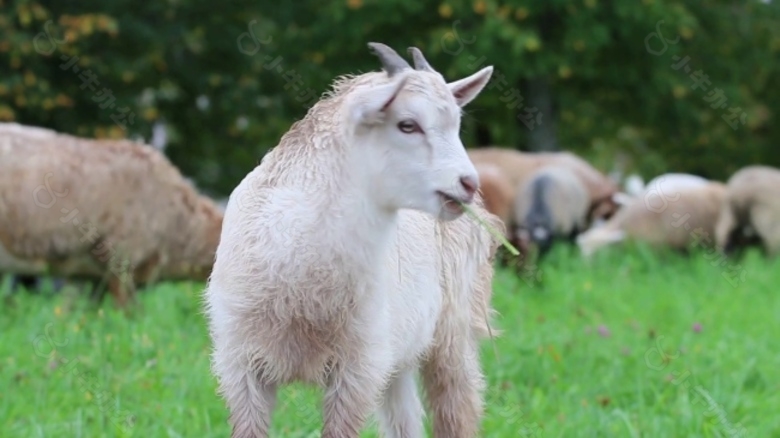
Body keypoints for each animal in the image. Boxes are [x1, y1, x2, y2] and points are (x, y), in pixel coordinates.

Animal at [203, 42, 500, 438]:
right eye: (407, 124)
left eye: (457, 124)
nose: (467, 183)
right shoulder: (240, 365)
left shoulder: (358, 367)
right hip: (398, 352)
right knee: (404, 417)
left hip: (452, 328)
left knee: (457, 407)